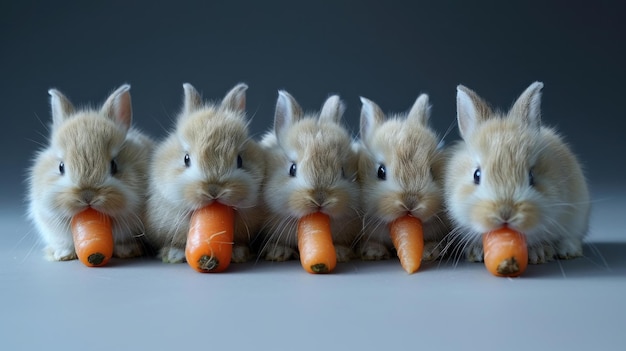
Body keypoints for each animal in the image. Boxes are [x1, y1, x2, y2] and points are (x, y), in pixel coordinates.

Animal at [442, 82, 588, 264]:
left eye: (531, 176)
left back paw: (568, 250)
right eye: (476, 175)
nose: (505, 213)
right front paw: (475, 252)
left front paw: (539, 253)